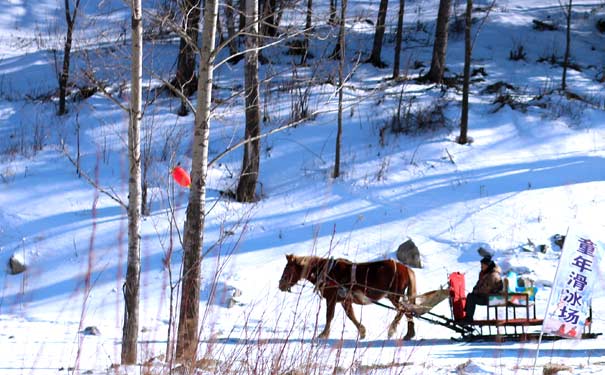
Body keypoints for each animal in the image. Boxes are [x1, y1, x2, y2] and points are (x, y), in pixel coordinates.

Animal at [278, 256, 416, 340]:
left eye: (287, 270)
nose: (280, 285)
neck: (326, 272)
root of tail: (406, 268)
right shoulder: (345, 300)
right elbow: (351, 315)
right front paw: (362, 331)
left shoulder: (331, 298)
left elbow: (329, 316)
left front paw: (323, 334)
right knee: (407, 311)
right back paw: (409, 334)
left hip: (394, 297)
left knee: (404, 310)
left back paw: (395, 330)